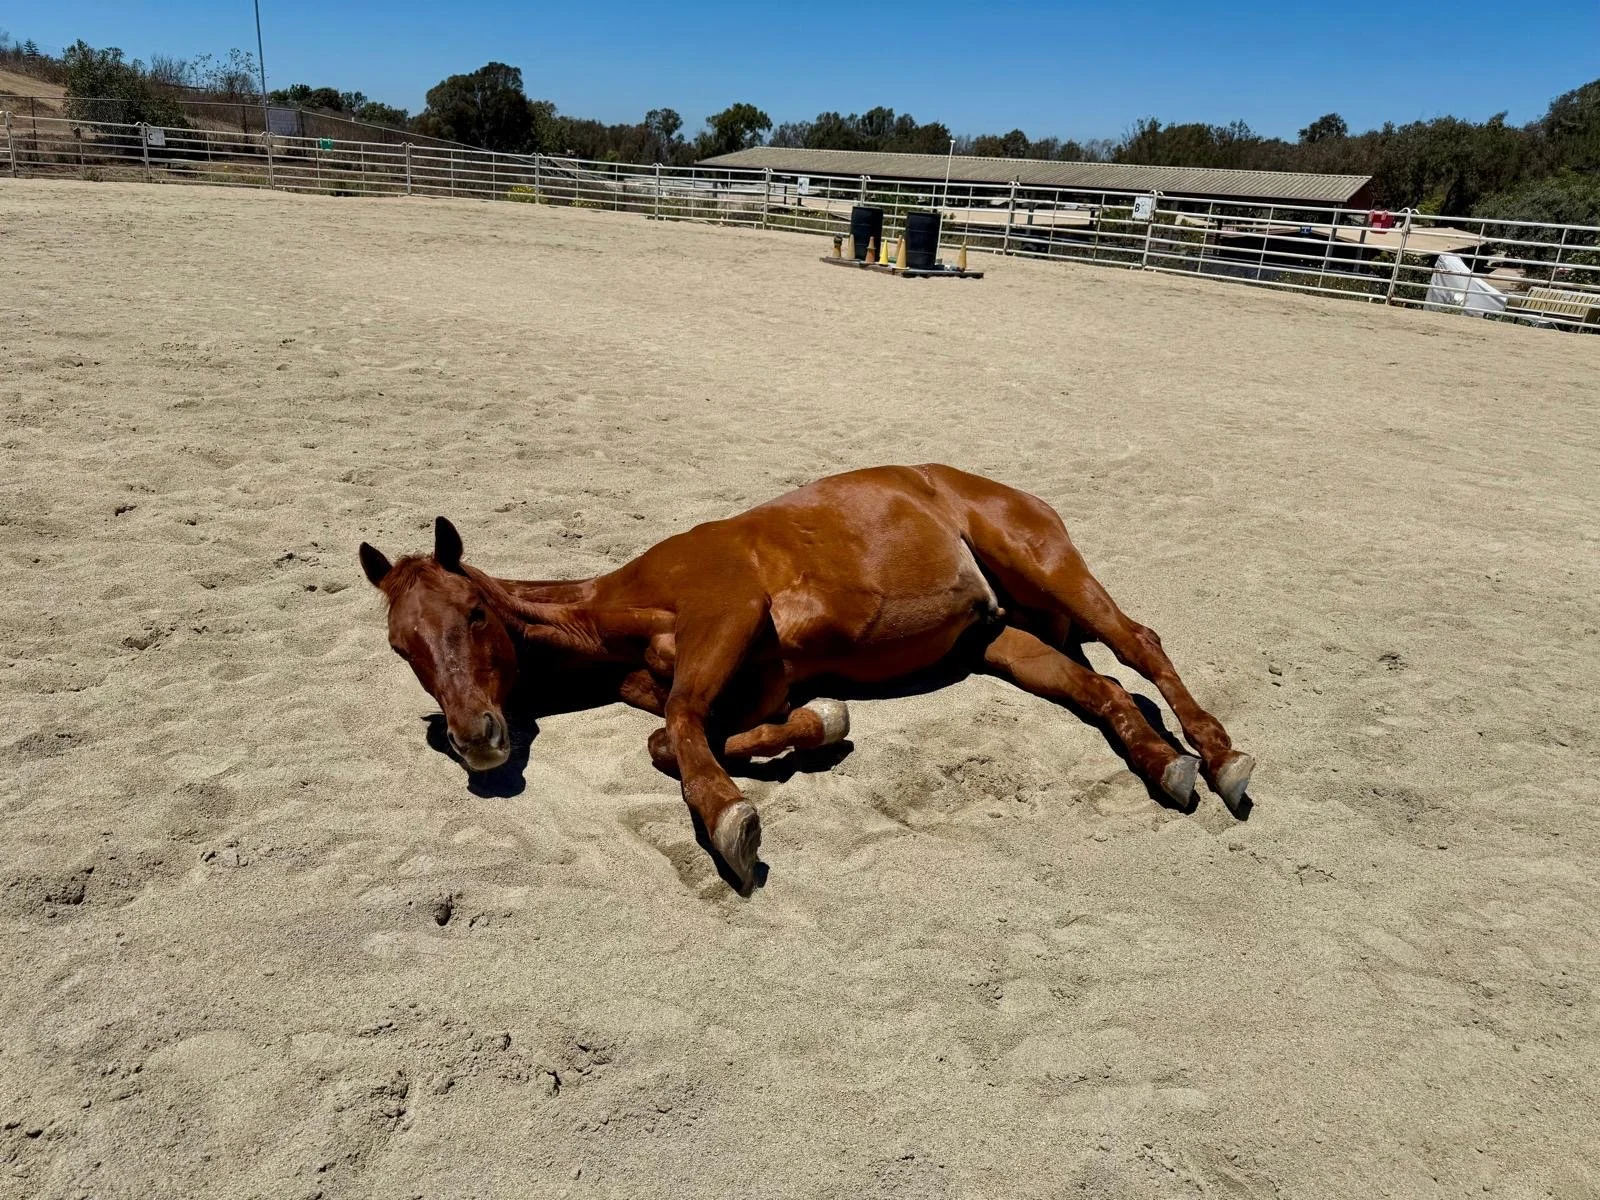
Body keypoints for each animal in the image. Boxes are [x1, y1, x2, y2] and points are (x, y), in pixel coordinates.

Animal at [358, 464, 1254, 891]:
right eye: (403, 647)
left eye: (474, 613)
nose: (478, 739)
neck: (620, 607)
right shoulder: (757, 684)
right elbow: (678, 737)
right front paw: (823, 725)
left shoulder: (726, 612)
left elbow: (679, 729)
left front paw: (730, 822)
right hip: (1003, 641)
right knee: (1102, 692)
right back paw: (1166, 765)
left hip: (1050, 568)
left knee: (1139, 645)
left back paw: (1221, 757)